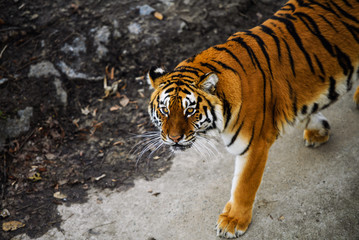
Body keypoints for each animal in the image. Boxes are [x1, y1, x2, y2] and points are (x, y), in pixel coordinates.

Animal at [145, 0, 358, 237]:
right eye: (164, 110)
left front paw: (233, 221)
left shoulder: (255, 144)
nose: (174, 138)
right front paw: (317, 129)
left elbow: (244, 186)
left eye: (189, 111)